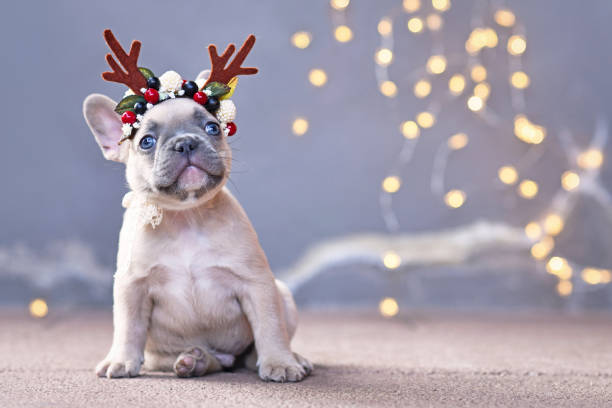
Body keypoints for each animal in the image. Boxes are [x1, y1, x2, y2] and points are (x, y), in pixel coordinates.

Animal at [82, 74, 310, 382]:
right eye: (146, 142)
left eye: (212, 127)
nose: (186, 143)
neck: (187, 217)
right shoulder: (132, 286)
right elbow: (128, 326)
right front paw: (120, 360)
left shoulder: (257, 283)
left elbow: (270, 325)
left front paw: (280, 362)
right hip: (162, 355)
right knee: (202, 361)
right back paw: (195, 361)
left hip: (282, 294)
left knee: (253, 353)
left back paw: (288, 358)